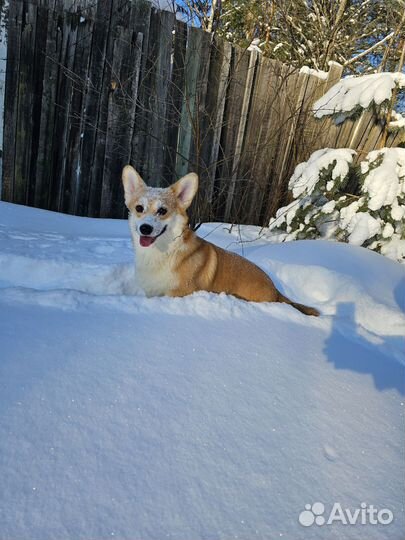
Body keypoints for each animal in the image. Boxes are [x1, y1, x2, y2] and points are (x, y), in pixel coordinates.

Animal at [121, 166, 318, 316]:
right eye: (139, 208)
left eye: (162, 211)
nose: (145, 228)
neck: (164, 252)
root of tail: (276, 291)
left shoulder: (177, 294)